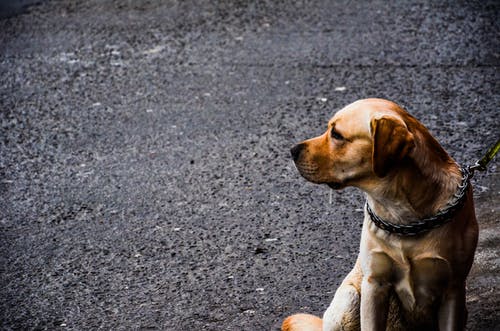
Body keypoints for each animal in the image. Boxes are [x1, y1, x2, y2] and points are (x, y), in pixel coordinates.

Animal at [284, 99, 478, 331]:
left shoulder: (453, 289)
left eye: (337, 134)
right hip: (349, 299)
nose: (292, 150)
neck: (403, 217)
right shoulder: (374, 284)